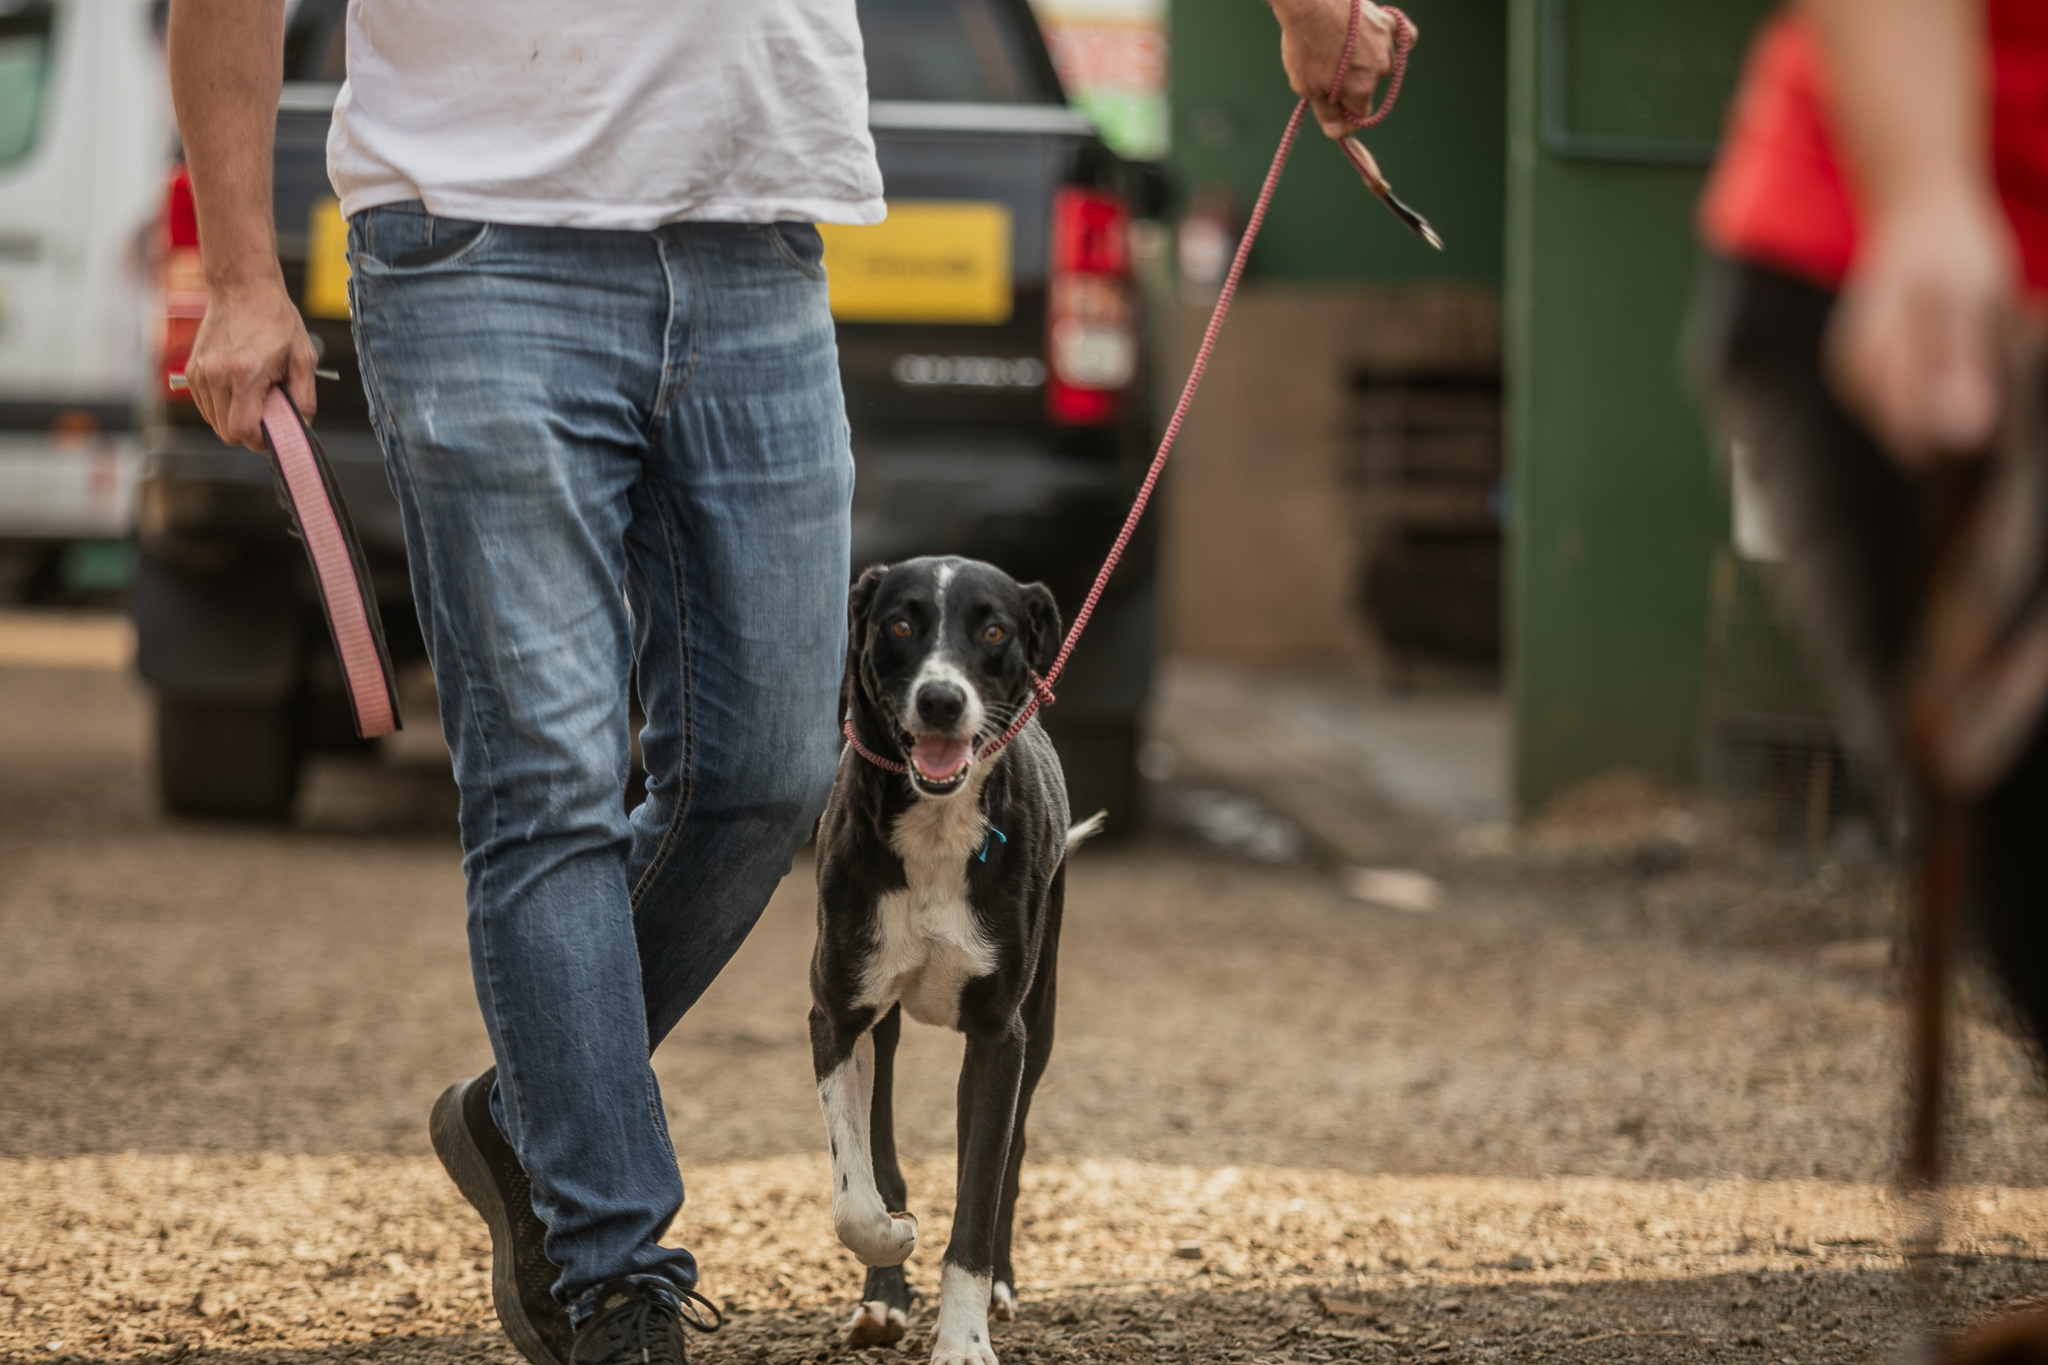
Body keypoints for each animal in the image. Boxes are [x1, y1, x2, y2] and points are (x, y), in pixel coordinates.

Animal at [806, 556, 1097, 1365]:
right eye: (901, 623)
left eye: (994, 631)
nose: (940, 699)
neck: (936, 826)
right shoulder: (837, 1012)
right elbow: (857, 1189)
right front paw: (891, 1244)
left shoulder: (1002, 1036)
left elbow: (978, 1194)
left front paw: (964, 1339)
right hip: (885, 1024)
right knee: (883, 1143)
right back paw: (883, 1295)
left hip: (1042, 1016)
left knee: (1007, 1156)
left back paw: (998, 1286)